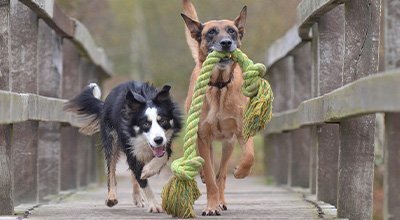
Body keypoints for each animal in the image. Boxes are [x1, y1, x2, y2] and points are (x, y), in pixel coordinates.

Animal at [63, 81, 181, 213]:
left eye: (163, 121)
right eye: (146, 124)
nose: (158, 140)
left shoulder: (166, 143)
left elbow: (162, 156)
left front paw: (149, 170)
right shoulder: (130, 146)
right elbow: (142, 180)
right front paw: (154, 205)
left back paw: (137, 196)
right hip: (111, 139)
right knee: (111, 170)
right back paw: (111, 197)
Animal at [181, 0, 253, 217]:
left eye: (232, 31)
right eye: (211, 32)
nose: (226, 43)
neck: (220, 86)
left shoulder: (242, 131)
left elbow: (249, 155)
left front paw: (241, 171)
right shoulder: (202, 137)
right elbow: (211, 177)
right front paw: (211, 206)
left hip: (228, 144)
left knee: (221, 174)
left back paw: (222, 199)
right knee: (211, 170)